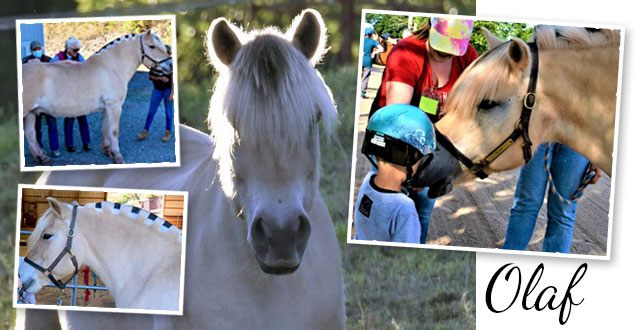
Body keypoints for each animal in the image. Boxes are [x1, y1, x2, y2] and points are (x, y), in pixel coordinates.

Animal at [21, 30, 171, 165]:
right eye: (151, 46)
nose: (170, 65)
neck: (111, 67)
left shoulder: (106, 108)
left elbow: (105, 129)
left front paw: (108, 150)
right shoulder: (114, 106)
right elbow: (114, 131)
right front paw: (118, 157)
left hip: (31, 113)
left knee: (30, 134)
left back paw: (42, 158)